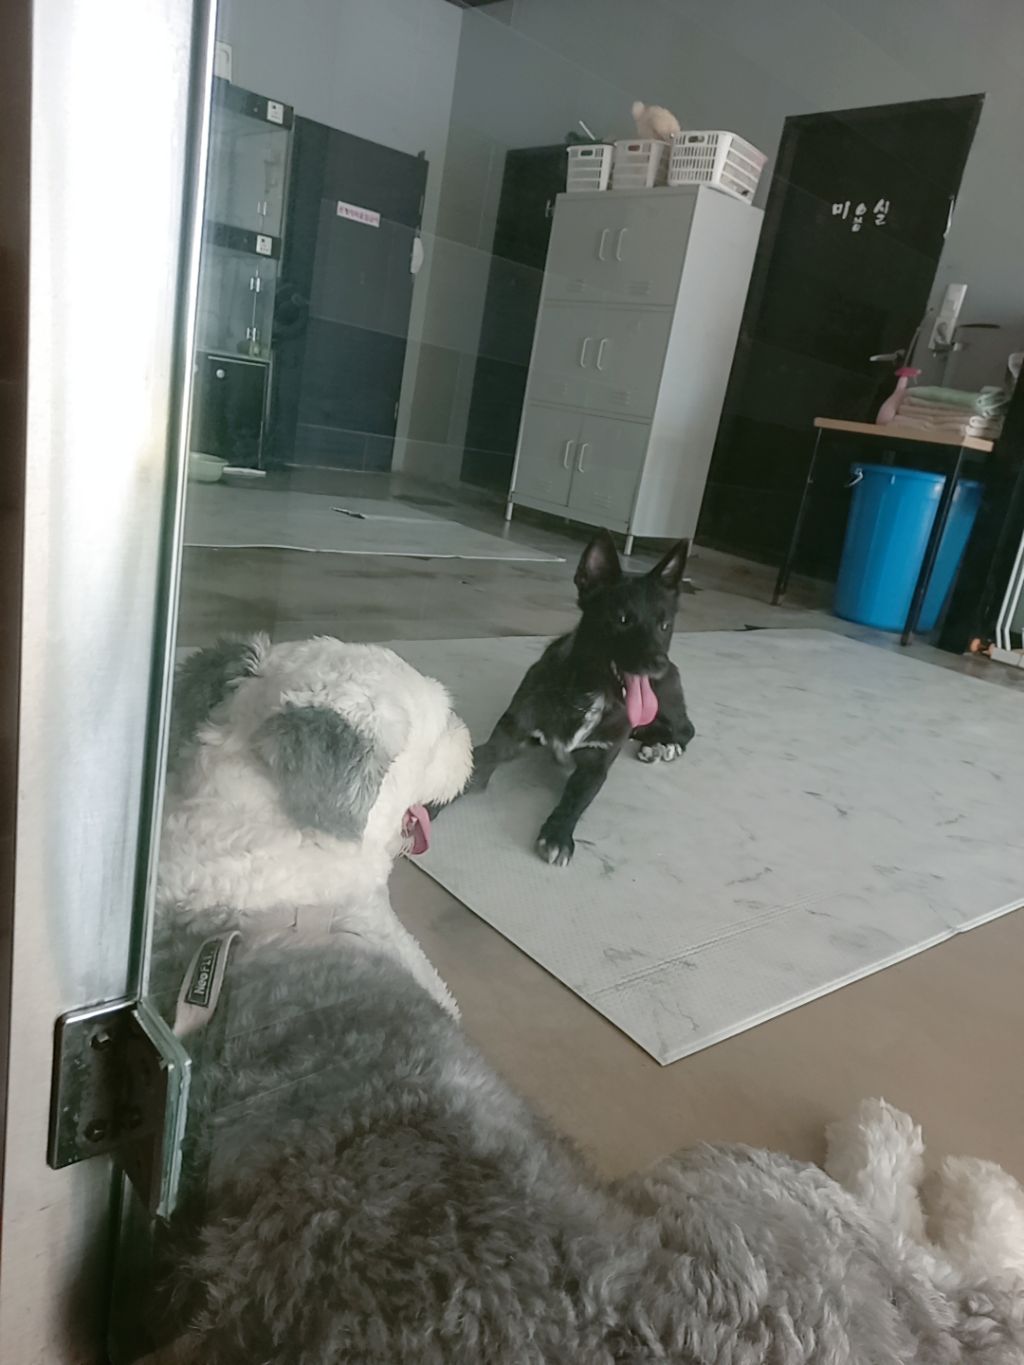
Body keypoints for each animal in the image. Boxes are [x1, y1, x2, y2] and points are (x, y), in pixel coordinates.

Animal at [139, 637, 1024, 1364]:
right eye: (438, 729)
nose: (474, 745)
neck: (254, 891)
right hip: (758, 1185)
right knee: (932, 1259)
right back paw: (924, 1154)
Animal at [469, 529, 695, 866]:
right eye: (623, 619)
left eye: (665, 625)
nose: (659, 664)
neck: (592, 694)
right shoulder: (507, 738)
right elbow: (471, 767)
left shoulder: (595, 767)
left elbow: (576, 798)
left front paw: (557, 834)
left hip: (666, 703)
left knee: (686, 729)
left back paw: (665, 748)